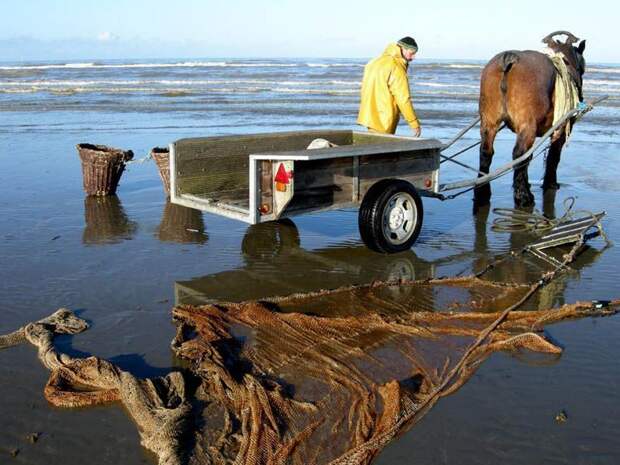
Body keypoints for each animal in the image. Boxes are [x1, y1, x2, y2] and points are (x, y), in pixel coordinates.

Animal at [474, 31, 588, 207]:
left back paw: (482, 191)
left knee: (486, 152)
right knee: (520, 154)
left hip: (489, 122)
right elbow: (553, 157)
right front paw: (549, 183)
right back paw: (523, 196)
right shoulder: (559, 130)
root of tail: (509, 58)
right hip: (528, 127)